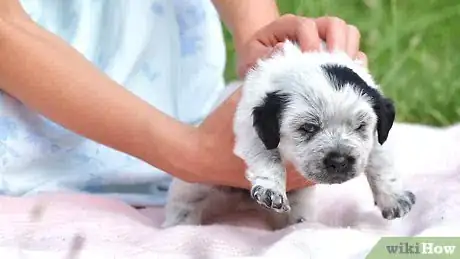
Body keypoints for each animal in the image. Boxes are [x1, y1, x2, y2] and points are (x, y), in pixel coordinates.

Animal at [163, 40, 416, 230]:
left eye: (360, 126)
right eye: (308, 128)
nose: (339, 161)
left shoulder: (378, 138)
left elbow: (381, 162)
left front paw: (393, 198)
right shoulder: (250, 129)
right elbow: (269, 159)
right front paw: (271, 190)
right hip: (192, 188)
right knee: (183, 206)